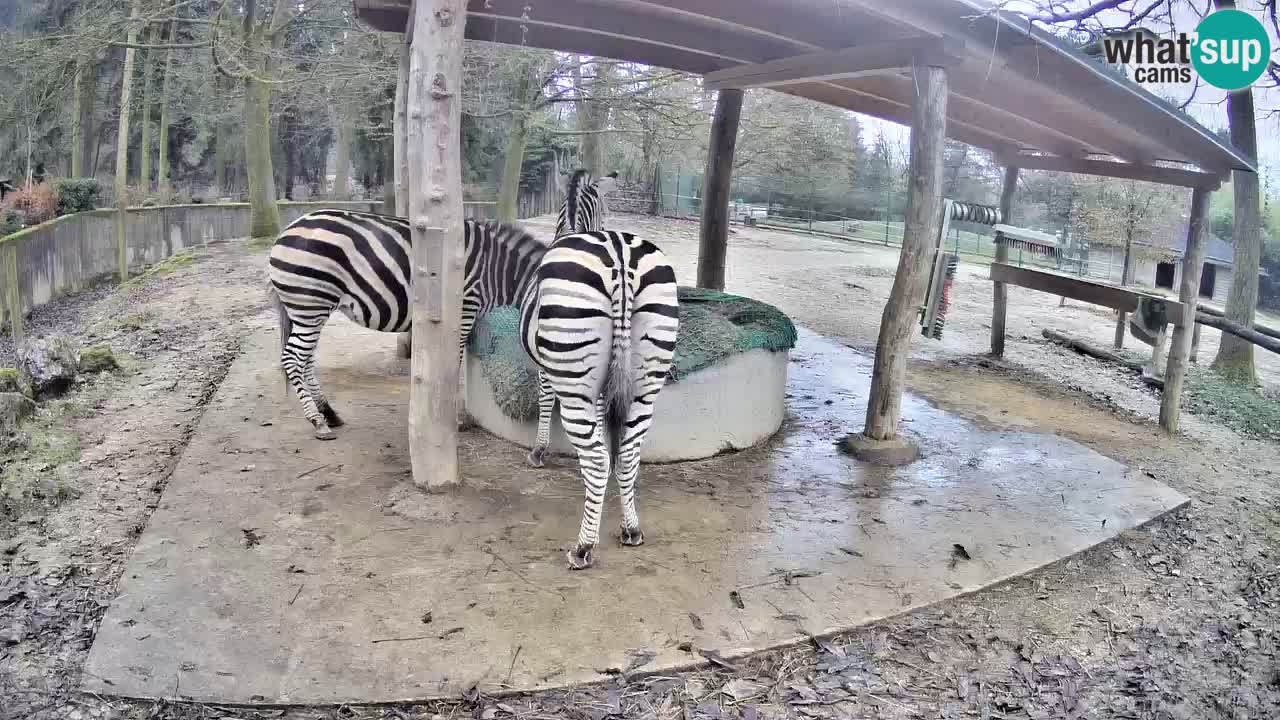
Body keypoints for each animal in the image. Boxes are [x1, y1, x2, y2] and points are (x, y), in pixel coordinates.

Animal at [267, 208, 547, 439]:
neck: (496, 271)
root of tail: (286, 231)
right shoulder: (464, 309)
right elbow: (453, 364)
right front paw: (453, 419)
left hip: (308, 310)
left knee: (306, 359)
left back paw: (329, 413)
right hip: (310, 304)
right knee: (292, 358)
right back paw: (317, 421)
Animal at [519, 229, 679, 570]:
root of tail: (621, 256)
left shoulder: (547, 367)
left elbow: (544, 397)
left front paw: (538, 451)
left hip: (574, 378)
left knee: (595, 459)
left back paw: (582, 548)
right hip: (646, 383)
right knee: (628, 454)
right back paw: (631, 529)